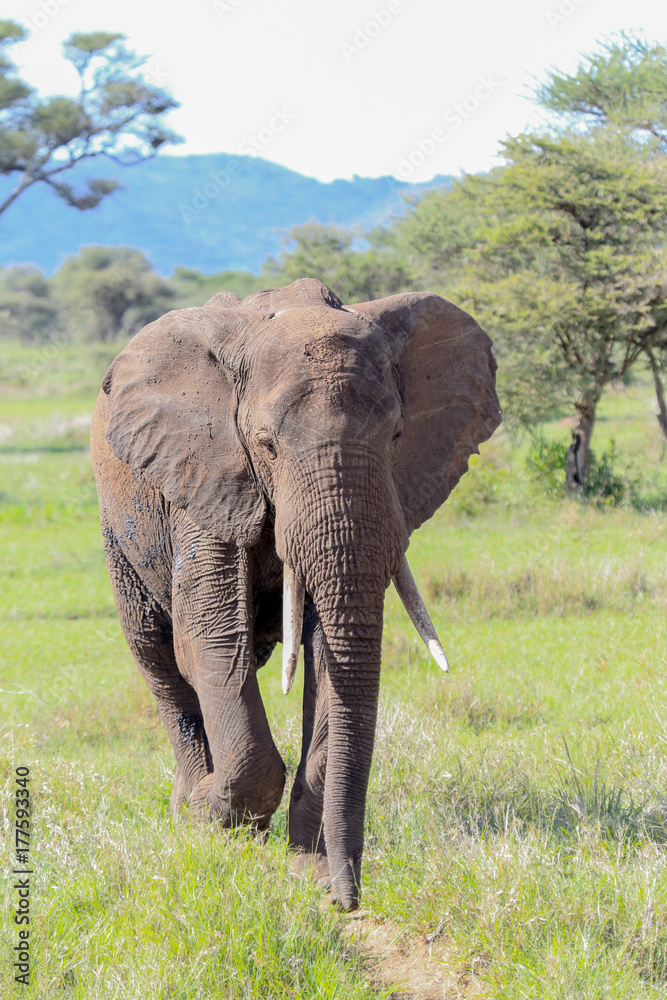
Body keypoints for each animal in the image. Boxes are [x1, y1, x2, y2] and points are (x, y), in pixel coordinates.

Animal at [90, 277, 501, 911]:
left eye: (397, 436)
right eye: (266, 445)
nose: (348, 900)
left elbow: (329, 653)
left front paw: (307, 867)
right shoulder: (207, 474)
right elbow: (210, 638)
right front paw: (216, 824)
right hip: (120, 526)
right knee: (157, 657)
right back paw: (187, 807)